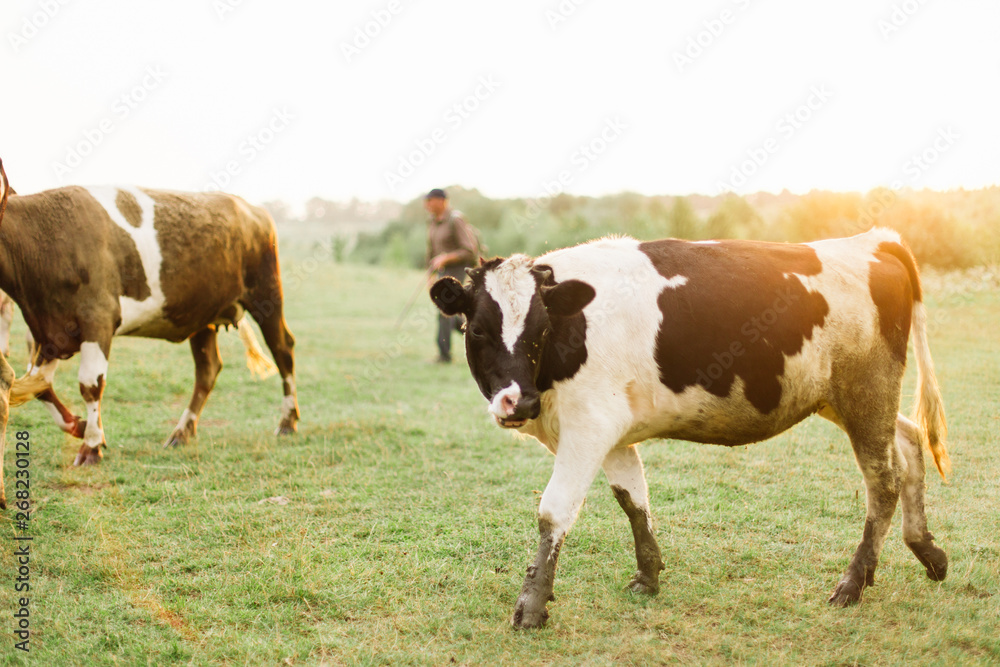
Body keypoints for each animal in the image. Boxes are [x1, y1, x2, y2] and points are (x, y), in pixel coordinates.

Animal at [0, 162, 298, 482]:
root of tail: (252, 208)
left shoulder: (98, 319)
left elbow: (90, 384)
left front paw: (91, 446)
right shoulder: (49, 332)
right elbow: (39, 385)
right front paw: (80, 427)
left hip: (267, 294)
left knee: (283, 351)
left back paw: (288, 421)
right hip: (203, 316)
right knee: (207, 370)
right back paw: (182, 432)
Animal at [428, 231, 944, 632]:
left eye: (540, 329)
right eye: (477, 330)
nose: (520, 402)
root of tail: (873, 240)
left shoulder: (589, 427)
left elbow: (554, 513)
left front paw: (532, 606)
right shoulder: (613, 433)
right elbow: (633, 500)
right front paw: (648, 576)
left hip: (866, 394)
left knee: (883, 483)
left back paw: (854, 583)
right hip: (847, 401)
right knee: (911, 442)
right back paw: (927, 550)